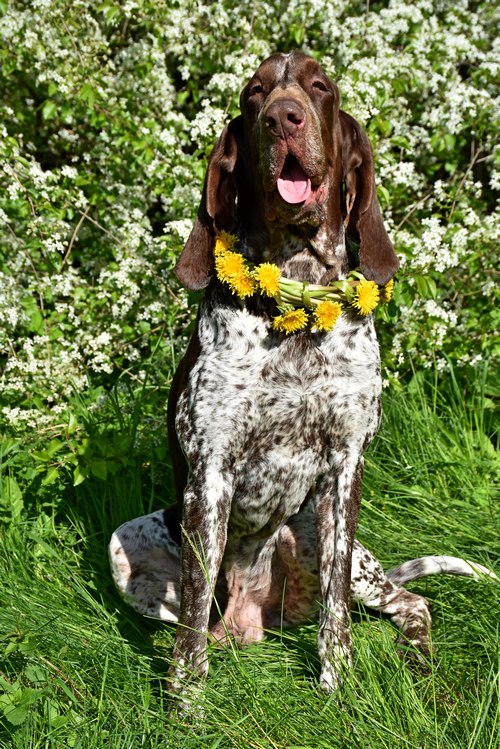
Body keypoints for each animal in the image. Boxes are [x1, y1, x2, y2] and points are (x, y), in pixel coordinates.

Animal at [107, 52, 494, 700]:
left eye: (320, 88)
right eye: (252, 94)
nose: (283, 117)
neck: (298, 297)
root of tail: (254, 619)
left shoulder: (345, 467)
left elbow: (337, 617)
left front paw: (338, 686)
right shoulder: (210, 472)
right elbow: (193, 607)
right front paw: (185, 700)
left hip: (330, 540)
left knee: (407, 602)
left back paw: (417, 663)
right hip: (127, 544)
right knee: (202, 612)